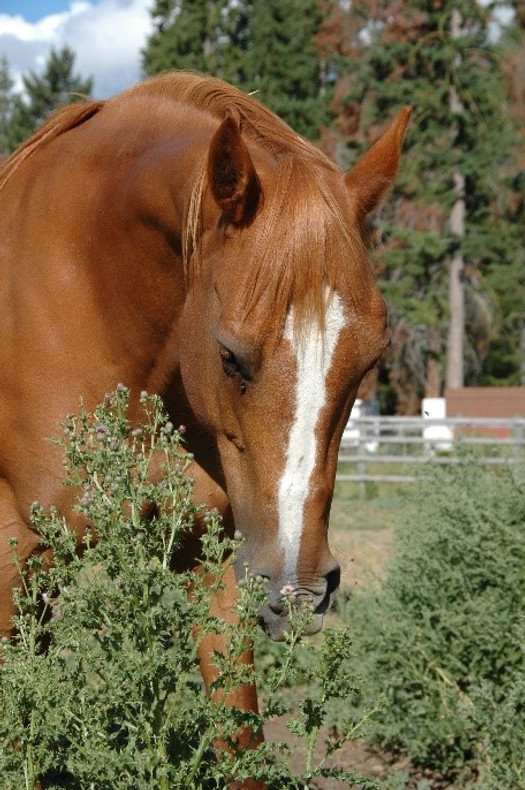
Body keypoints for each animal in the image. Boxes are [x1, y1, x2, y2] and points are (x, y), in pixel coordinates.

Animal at [0, 72, 410, 784]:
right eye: (229, 356)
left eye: (370, 360)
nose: (297, 591)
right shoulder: (15, 554)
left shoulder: (209, 557)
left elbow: (238, 738)